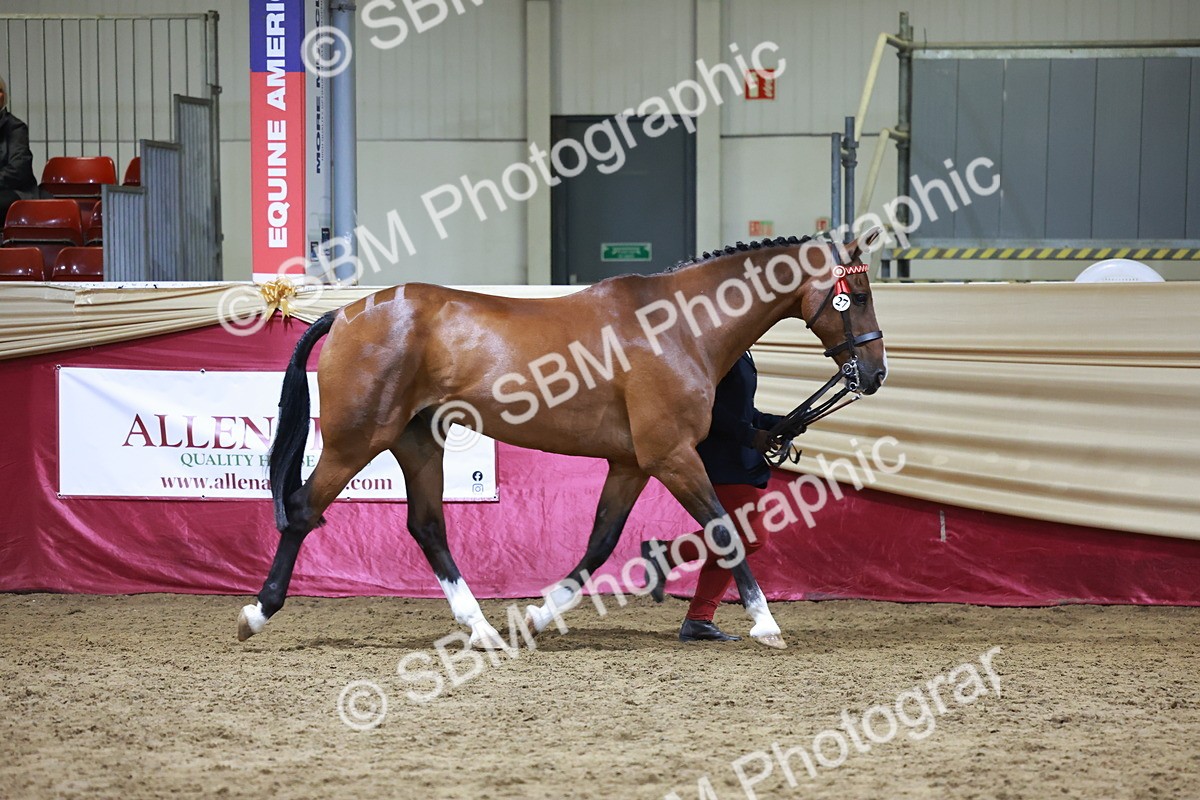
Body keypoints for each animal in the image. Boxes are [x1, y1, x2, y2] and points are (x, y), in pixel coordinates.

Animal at [237, 227, 887, 650]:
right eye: (854, 296)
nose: (876, 373)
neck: (680, 325)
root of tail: (347, 314)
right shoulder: (672, 455)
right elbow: (723, 528)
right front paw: (766, 624)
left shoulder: (631, 463)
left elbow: (599, 544)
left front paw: (536, 619)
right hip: (357, 440)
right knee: (303, 509)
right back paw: (256, 613)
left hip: (418, 442)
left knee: (427, 528)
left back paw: (482, 630)